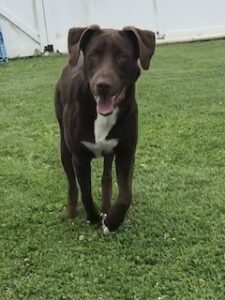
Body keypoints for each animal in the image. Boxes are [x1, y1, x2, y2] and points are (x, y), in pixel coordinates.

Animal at [55, 24, 156, 233]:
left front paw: (112, 221)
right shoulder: (79, 157)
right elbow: (86, 193)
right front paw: (92, 218)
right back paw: (71, 212)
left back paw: (106, 208)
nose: (103, 85)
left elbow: (125, 195)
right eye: (93, 54)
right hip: (64, 146)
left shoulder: (126, 152)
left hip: (109, 153)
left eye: (123, 56)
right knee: (71, 183)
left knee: (107, 178)